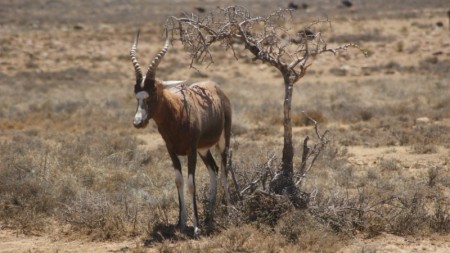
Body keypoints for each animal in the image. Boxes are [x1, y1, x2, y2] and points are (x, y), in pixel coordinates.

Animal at [127, 28, 230, 234]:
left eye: (154, 92)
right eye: (136, 94)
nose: (138, 122)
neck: (178, 112)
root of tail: (217, 89)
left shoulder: (191, 151)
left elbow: (191, 183)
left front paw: (196, 227)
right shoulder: (172, 151)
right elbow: (178, 181)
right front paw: (180, 223)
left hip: (223, 141)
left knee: (223, 170)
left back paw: (230, 211)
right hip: (204, 149)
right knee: (214, 169)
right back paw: (210, 216)